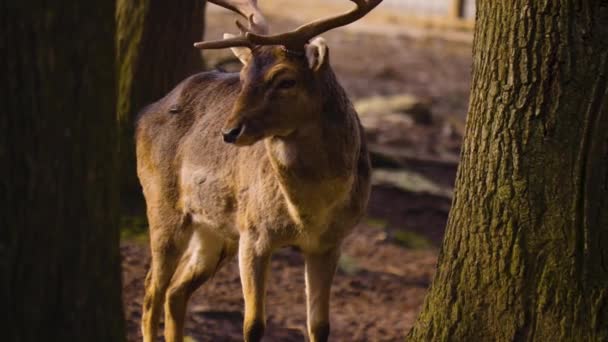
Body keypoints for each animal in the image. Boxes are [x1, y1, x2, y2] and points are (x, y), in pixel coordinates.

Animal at [137, 1, 380, 340]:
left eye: (286, 80)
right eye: (242, 76)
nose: (229, 132)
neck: (309, 214)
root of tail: (144, 114)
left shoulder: (330, 243)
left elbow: (319, 326)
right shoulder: (254, 233)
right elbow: (253, 324)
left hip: (215, 231)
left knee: (176, 291)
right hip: (162, 205)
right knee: (151, 292)